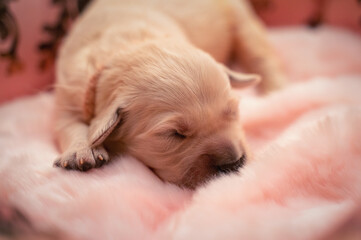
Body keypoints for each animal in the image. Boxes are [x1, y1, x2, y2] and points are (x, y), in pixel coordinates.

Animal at [53, 0, 284, 188]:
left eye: (232, 113)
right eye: (175, 134)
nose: (234, 162)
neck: (129, 46)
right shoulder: (70, 91)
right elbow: (67, 123)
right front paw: (82, 151)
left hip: (241, 21)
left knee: (260, 56)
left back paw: (279, 91)